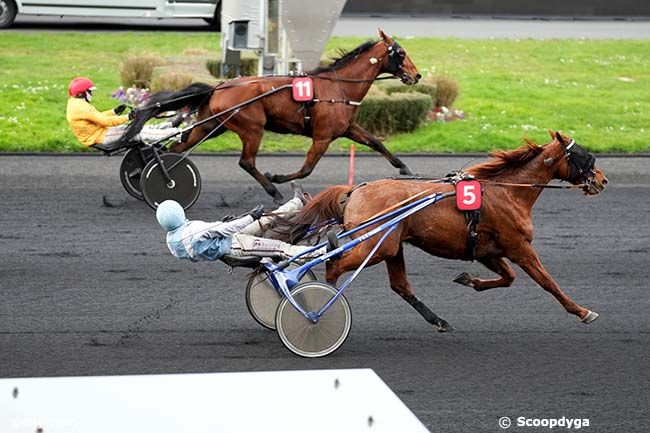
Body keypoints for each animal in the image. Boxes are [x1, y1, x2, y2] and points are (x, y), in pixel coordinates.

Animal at [121, 30, 420, 202]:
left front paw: (405, 169)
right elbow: (307, 168)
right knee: (245, 162)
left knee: (177, 148)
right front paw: (277, 178)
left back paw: (144, 172)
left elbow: (376, 142)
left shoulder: (347, 128)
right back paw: (271, 191)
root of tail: (218, 87)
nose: (416, 75)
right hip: (252, 128)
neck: (338, 86)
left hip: (212, 126)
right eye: (401, 52)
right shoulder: (322, 136)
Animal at [284, 130, 608, 330]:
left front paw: (468, 280)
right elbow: (548, 282)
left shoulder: (486, 250)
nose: (602, 180)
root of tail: (354, 190)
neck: (507, 191)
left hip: (391, 246)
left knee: (400, 285)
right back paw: (323, 301)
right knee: (334, 264)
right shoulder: (520, 247)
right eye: (583, 155)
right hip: (377, 244)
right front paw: (583, 312)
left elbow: (508, 278)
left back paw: (439, 320)